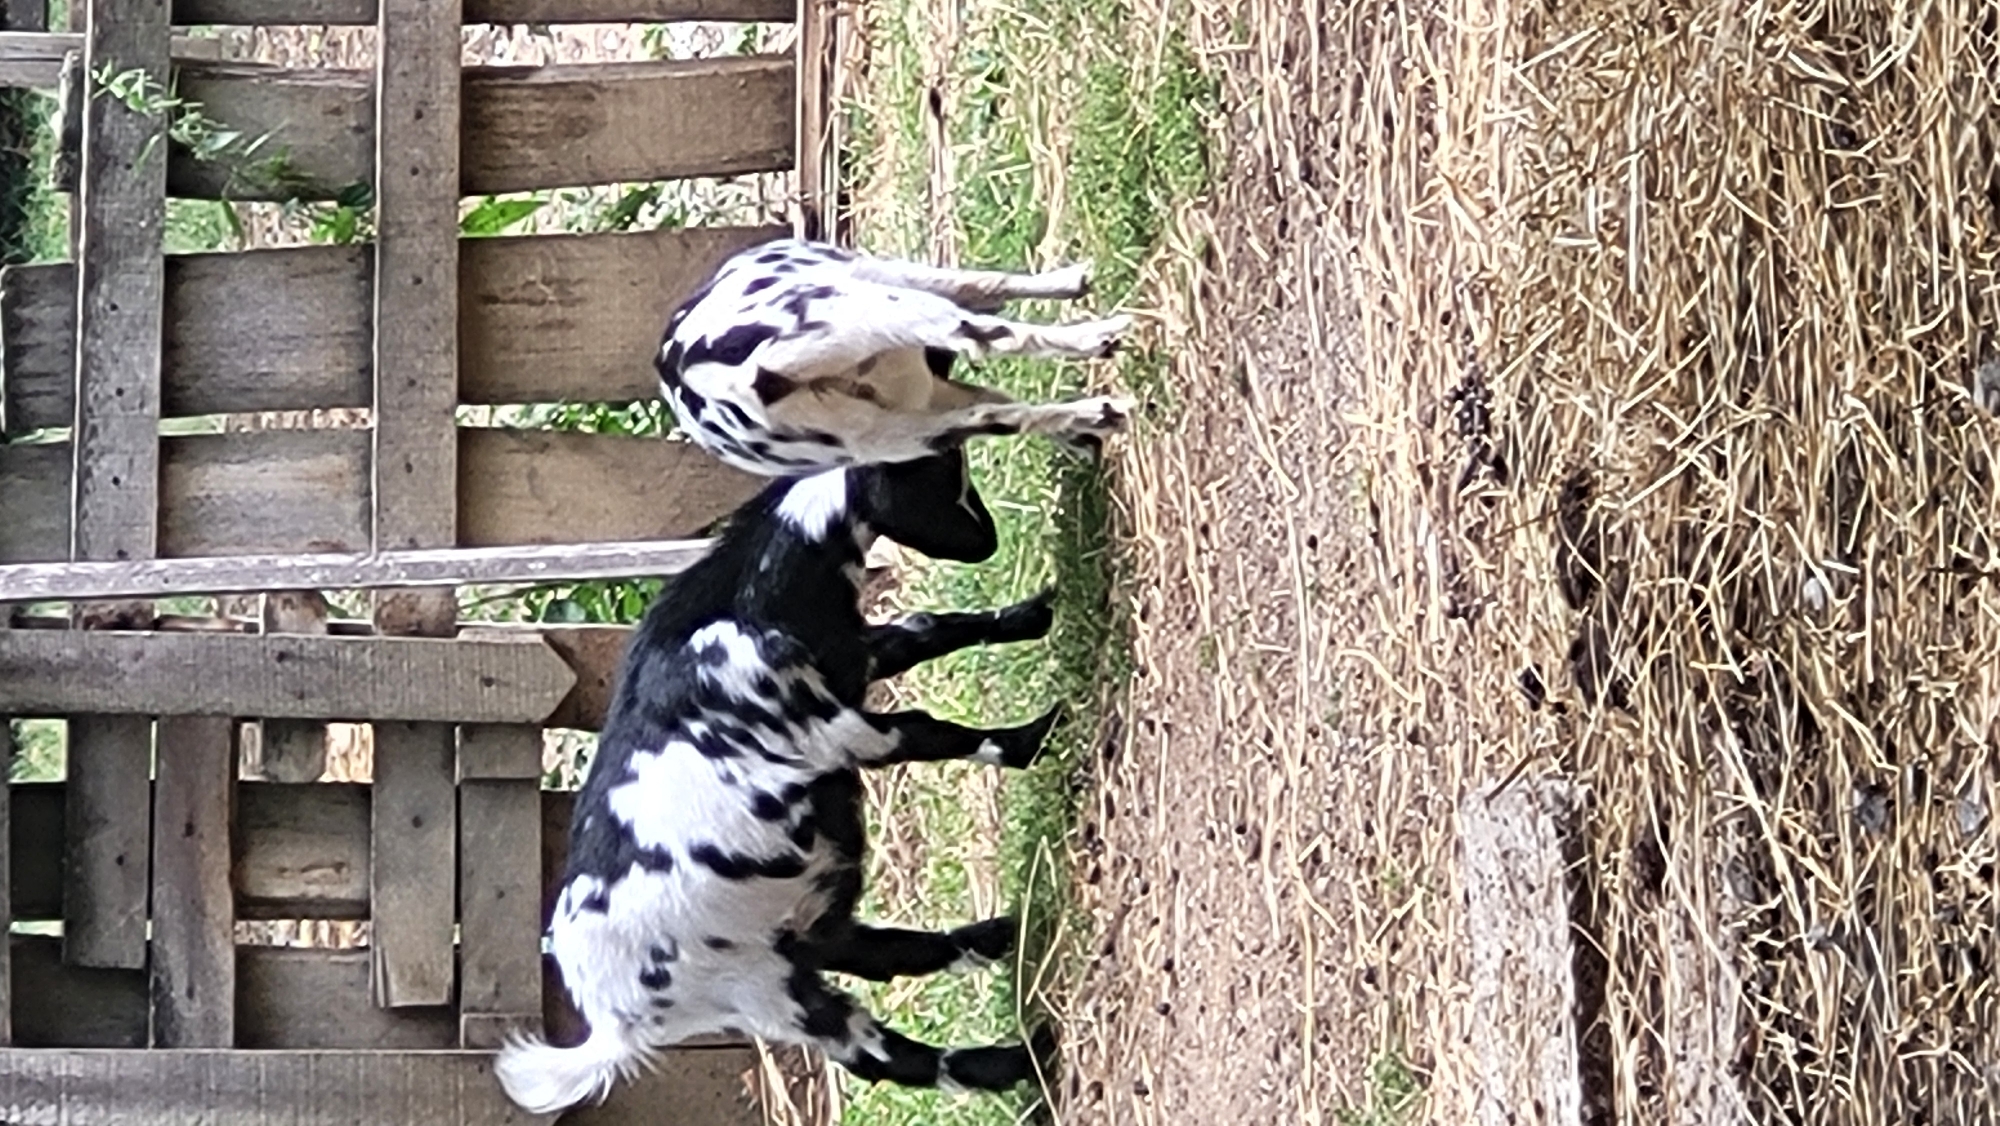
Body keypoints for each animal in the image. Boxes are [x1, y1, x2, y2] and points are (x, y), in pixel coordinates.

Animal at [495, 449, 1061, 1114]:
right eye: (934, 479)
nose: (988, 539)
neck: (742, 600)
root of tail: (608, 1020)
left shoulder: (855, 653)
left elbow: (930, 629)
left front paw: (1036, 612)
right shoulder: (839, 731)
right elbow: (933, 731)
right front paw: (1037, 736)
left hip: (790, 937)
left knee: (881, 953)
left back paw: (1007, 935)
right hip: (759, 992)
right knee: (889, 1056)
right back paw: (1030, 1054)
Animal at [656, 237, 1135, 477]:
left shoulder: (930, 398)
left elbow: (1004, 403)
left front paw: (1078, 435)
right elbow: (986, 285)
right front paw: (1073, 281)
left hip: (900, 437)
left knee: (996, 417)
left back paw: (1103, 414)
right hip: (899, 309)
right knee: (997, 337)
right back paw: (1103, 342)